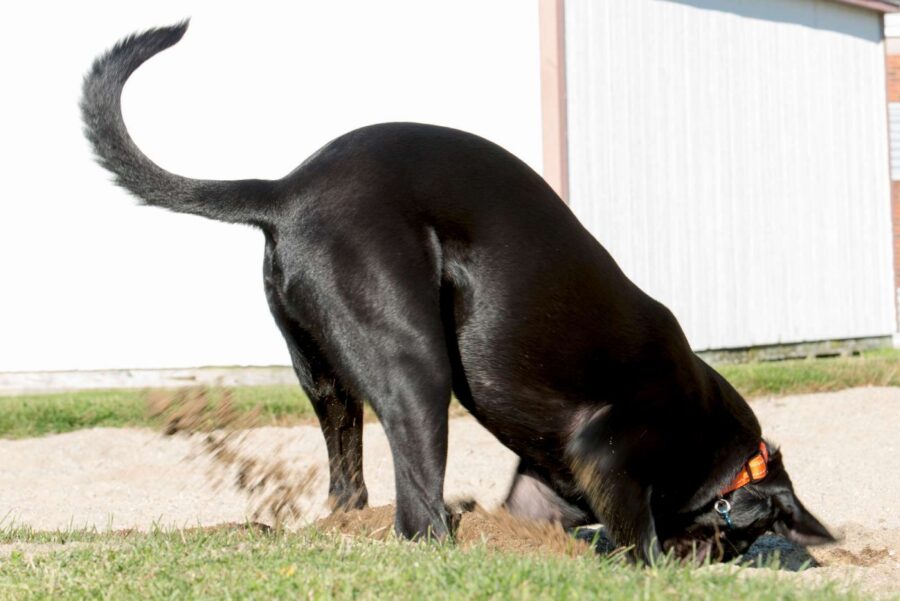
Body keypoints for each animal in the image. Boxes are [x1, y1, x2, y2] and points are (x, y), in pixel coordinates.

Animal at [84, 22, 836, 556]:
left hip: (322, 374)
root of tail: (285, 192)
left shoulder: (545, 482)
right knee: (417, 516)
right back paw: (449, 541)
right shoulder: (610, 450)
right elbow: (637, 531)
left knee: (351, 480)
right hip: (416, 365)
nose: (706, 557)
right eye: (737, 536)